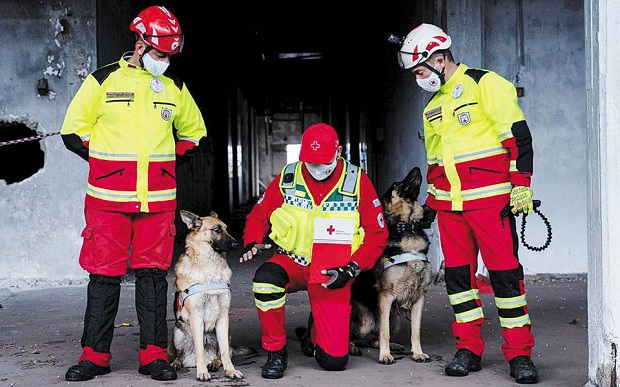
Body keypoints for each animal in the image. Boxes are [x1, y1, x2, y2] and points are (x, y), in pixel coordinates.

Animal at [172, 209, 247, 382]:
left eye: (227, 229)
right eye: (216, 230)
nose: (236, 245)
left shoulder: (223, 317)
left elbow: (225, 352)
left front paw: (230, 370)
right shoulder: (196, 317)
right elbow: (199, 349)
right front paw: (202, 372)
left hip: (227, 334)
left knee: (221, 353)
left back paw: (214, 363)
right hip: (177, 331)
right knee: (179, 355)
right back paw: (177, 363)